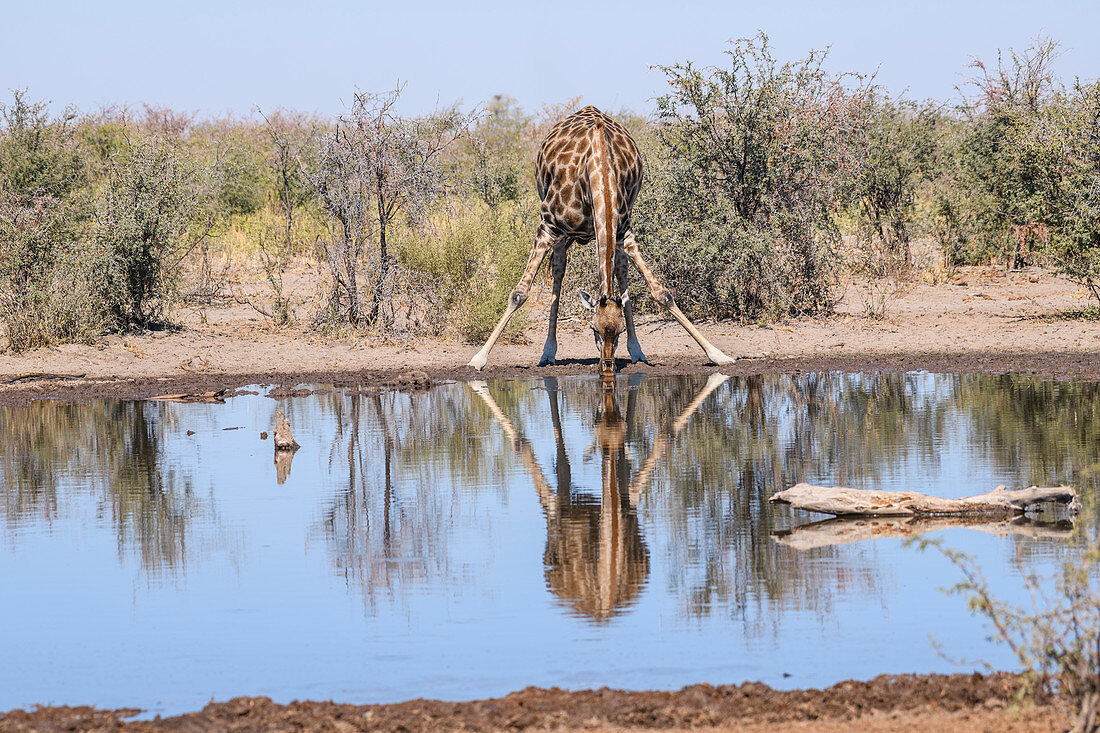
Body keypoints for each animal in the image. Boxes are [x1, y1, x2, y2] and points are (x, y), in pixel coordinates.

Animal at [468, 105, 734, 374]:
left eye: (619, 331)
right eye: (592, 328)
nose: (607, 367)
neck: (599, 169)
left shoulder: (624, 232)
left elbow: (662, 293)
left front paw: (718, 354)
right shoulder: (547, 227)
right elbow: (519, 293)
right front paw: (478, 358)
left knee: (620, 270)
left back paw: (637, 351)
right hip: (558, 229)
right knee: (558, 271)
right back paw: (548, 352)